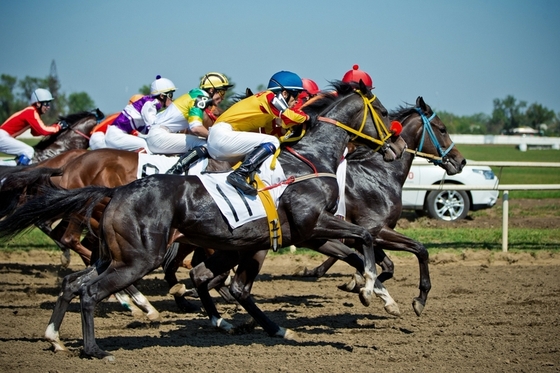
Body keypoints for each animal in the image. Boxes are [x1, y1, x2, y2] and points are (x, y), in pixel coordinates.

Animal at [0, 80, 404, 358]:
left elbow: (358, 247)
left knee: (73, 282)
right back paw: (98, 346)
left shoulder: (298, 236)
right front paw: (370, 288)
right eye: (384, 113)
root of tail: (115, 191)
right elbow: (366, 239)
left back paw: (56, 338)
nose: (396, 147)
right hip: (138, 258)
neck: (310, 159)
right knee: (91, 290)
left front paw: (374, 290)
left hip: (115, 255)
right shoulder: (312, 226)